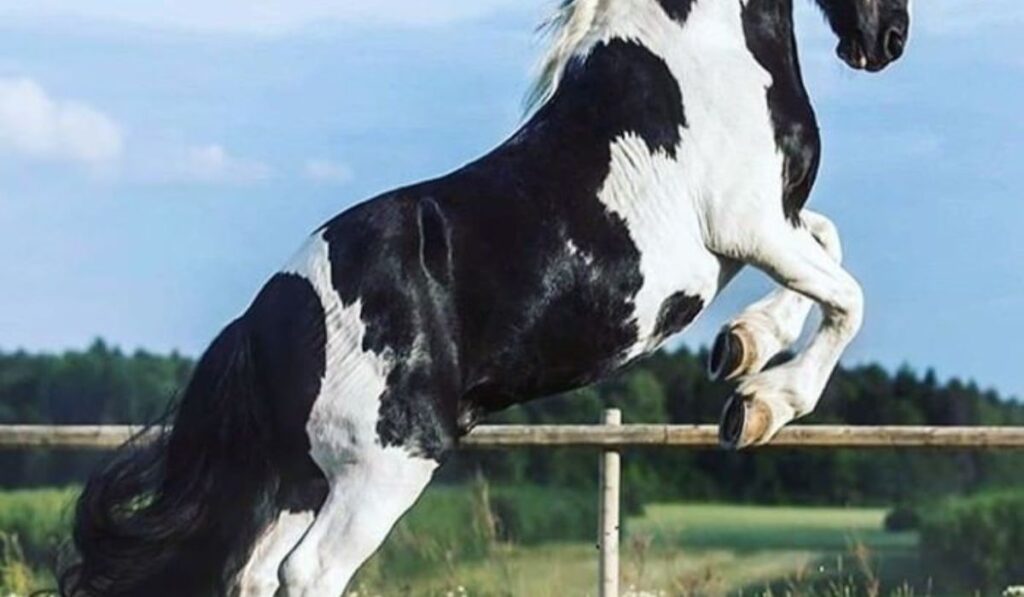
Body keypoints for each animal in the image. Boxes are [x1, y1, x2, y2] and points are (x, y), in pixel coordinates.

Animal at [60, 0, 911, 595]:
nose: (887, 38)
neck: (697, 57)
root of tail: (266, 322)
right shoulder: (750, 224)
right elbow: (849, 295)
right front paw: (762, 402)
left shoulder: (767, 229)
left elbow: (828, 247)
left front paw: (743, 350)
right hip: (386, 466)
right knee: (307, 573)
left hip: (303, 480)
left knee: (252, 573)